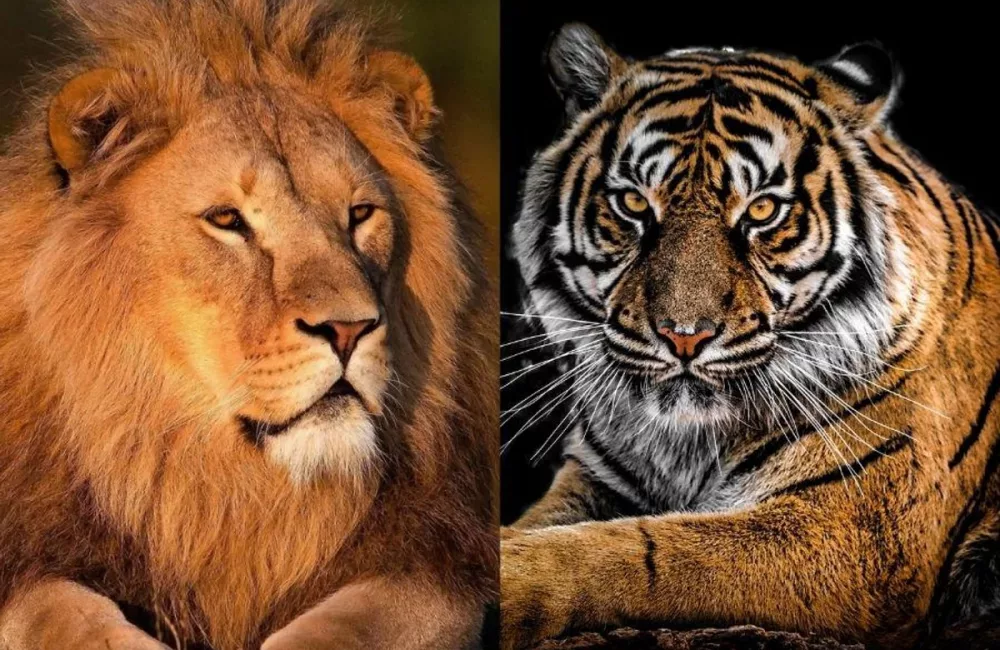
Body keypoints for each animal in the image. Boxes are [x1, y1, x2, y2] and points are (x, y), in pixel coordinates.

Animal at [0, 1, 498, 649]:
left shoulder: (439, 557)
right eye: (227, 219)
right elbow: (58, 611)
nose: (348, 330)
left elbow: (348, 627)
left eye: (361, 213)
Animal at [501, 24, 1000, 650]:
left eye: (762, 210)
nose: (683, 336)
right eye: (634, 202)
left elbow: (640, 552)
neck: (684, 442)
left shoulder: (853, 534)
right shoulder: (593, 478)